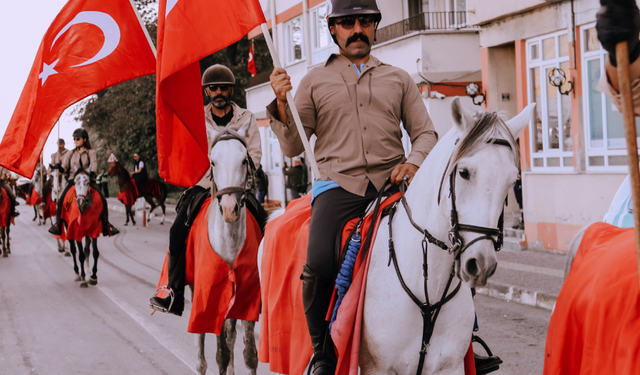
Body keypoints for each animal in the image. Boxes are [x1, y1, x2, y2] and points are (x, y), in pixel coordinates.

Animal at [194, 124, 258, 375]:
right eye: (212, 162)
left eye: (244, 160)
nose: (230, 209)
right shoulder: (213, 296)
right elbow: (221, 354)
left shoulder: (248, 297)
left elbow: (249, 355)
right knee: (202, 343)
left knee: (231, 337)